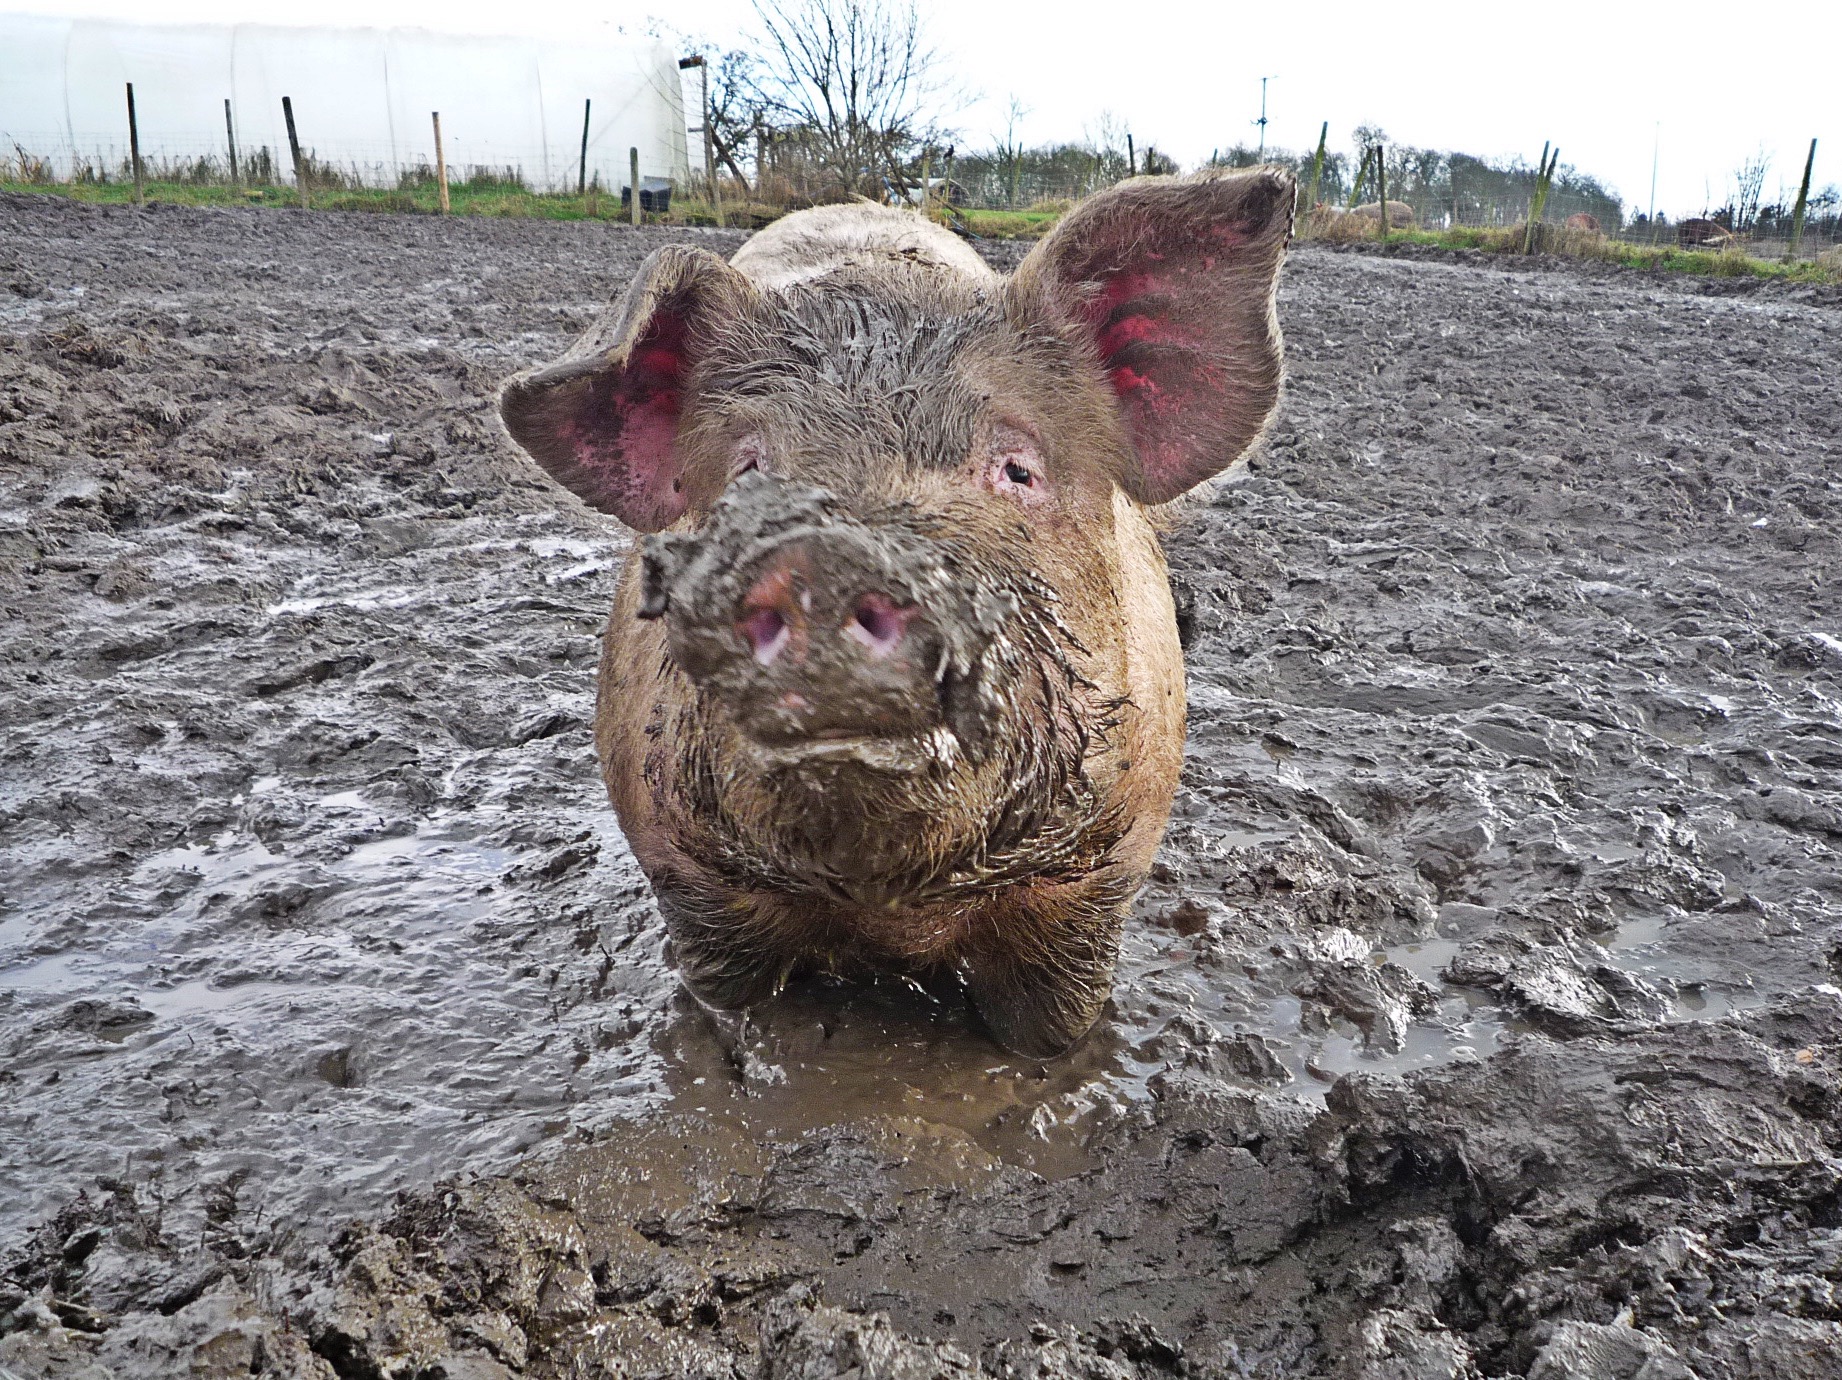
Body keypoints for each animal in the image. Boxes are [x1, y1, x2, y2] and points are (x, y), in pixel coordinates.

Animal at [493, 169, 1296, 1053]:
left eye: (1017, 468)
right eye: (745, 470)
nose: (826, 555)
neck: (891, 911)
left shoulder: (1094, 886)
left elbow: (1053, 1031)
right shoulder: (689, 882)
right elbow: (725, 993)